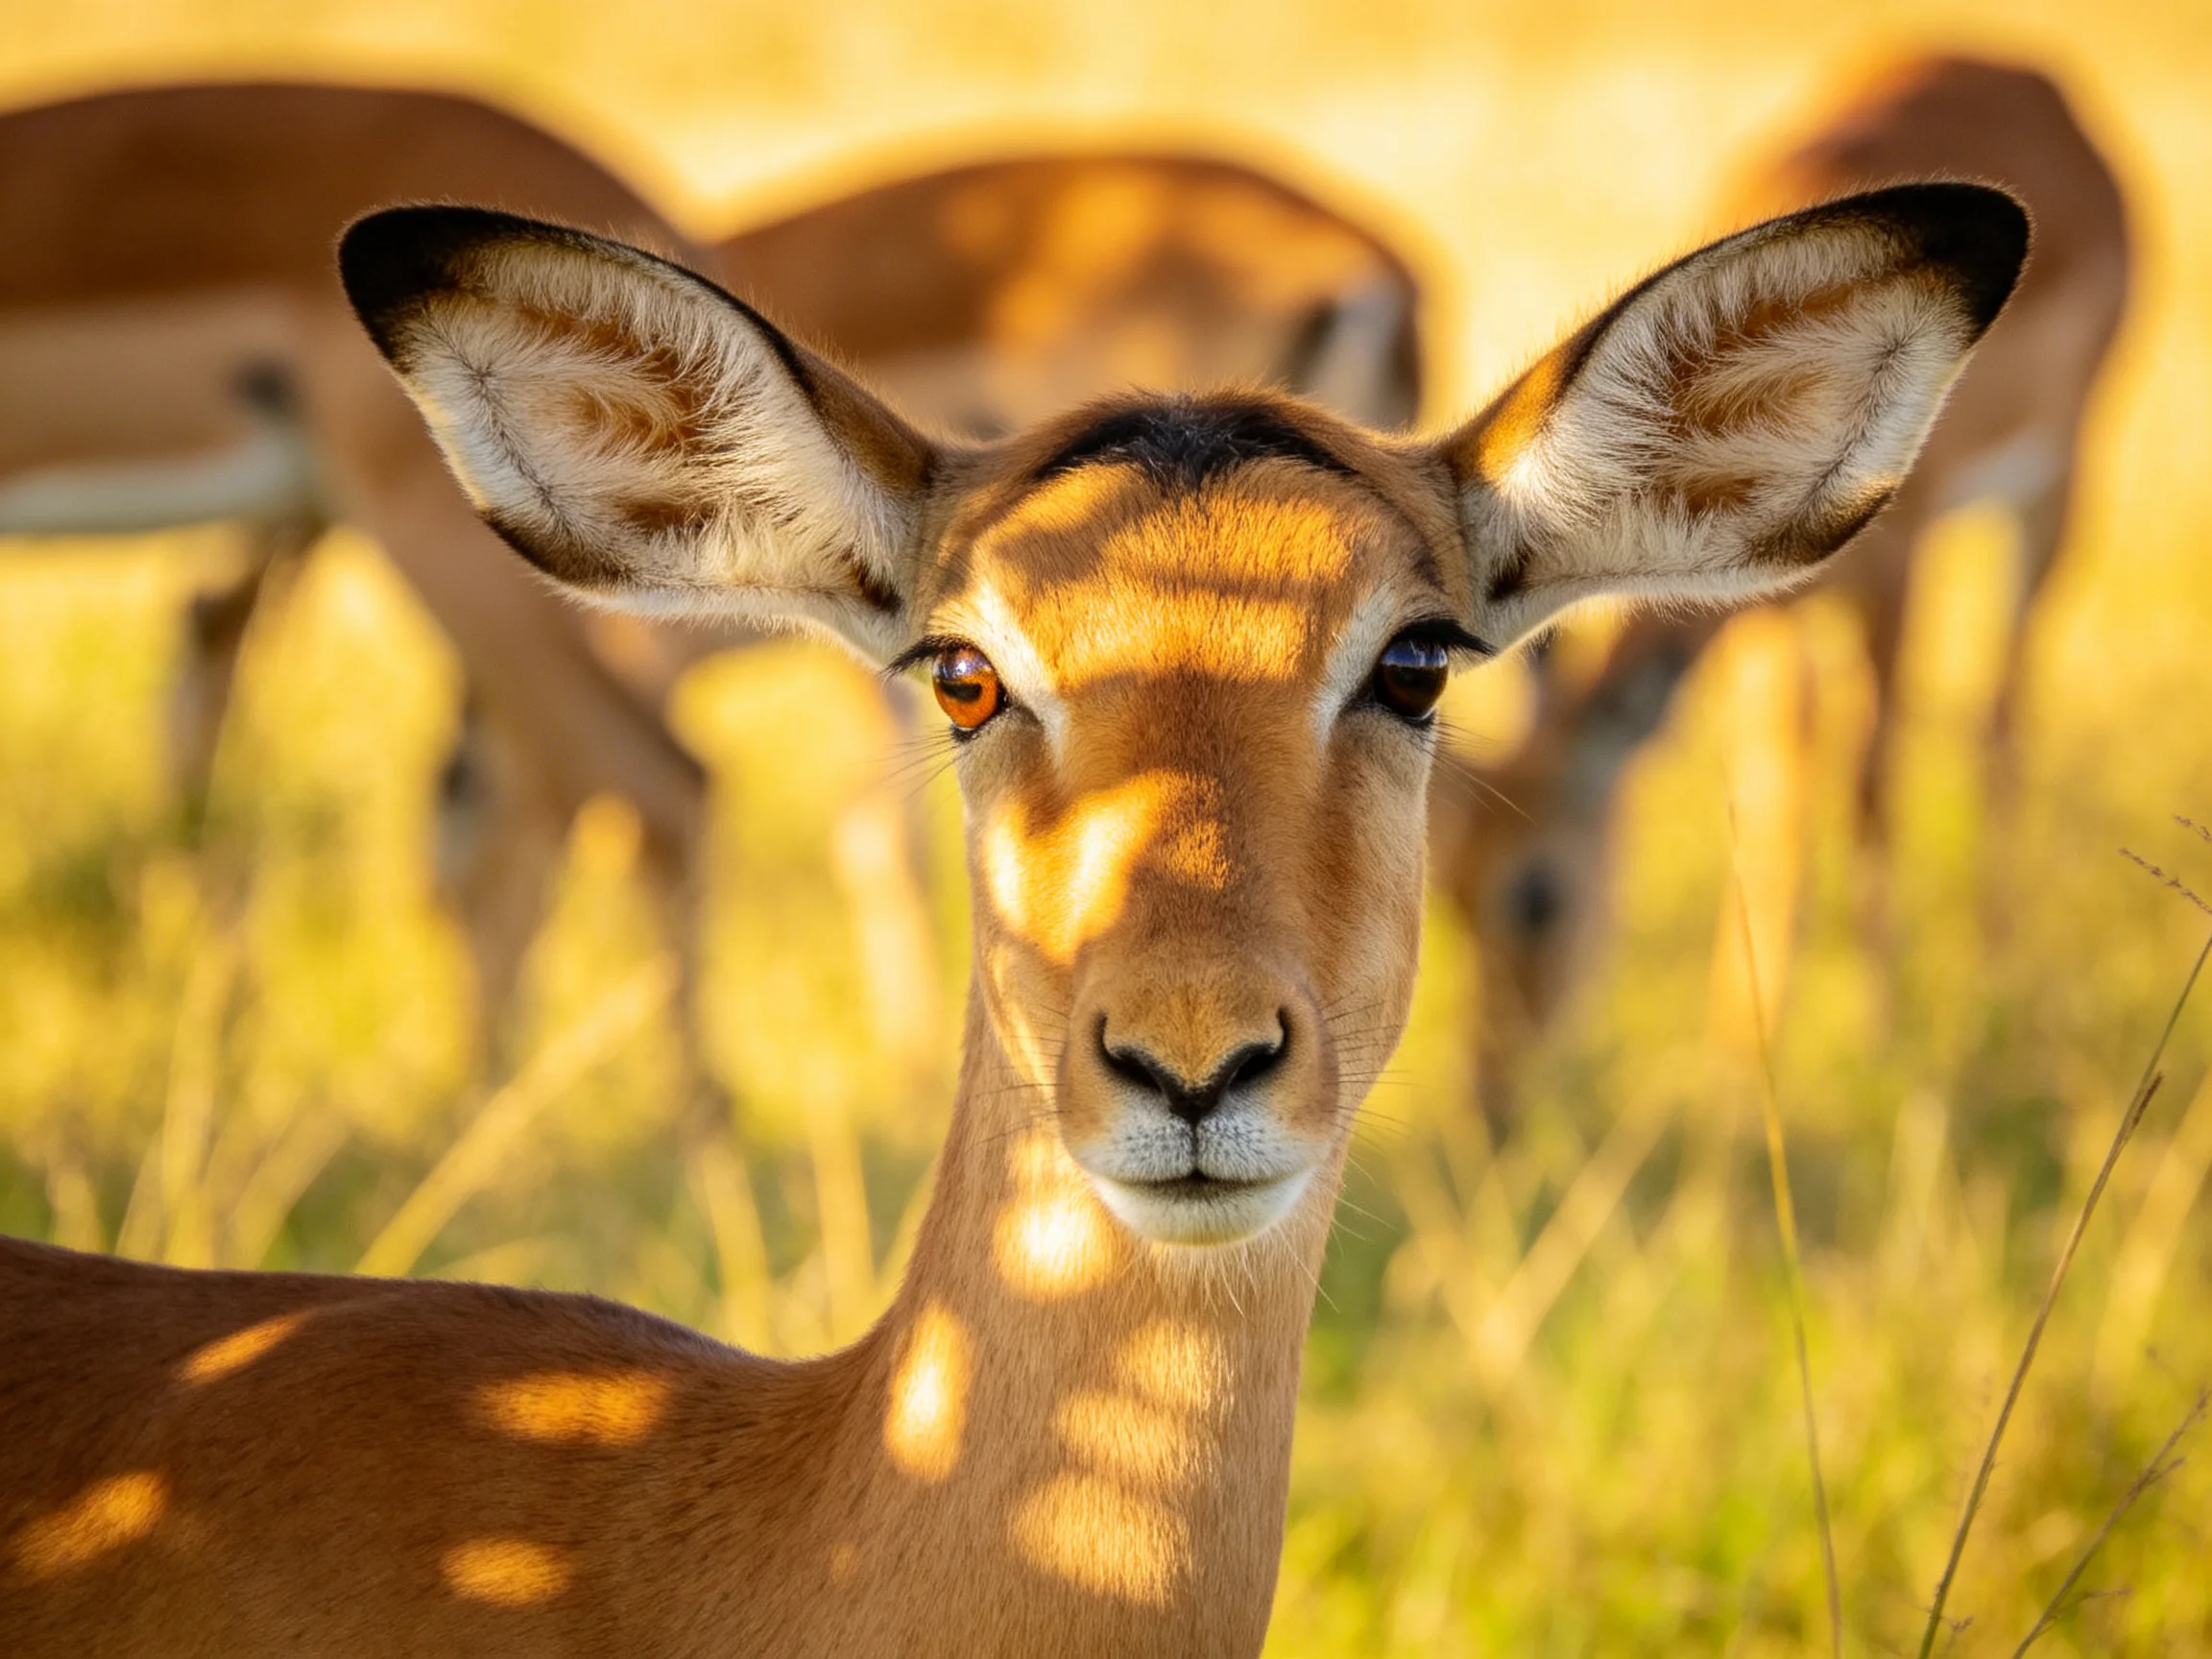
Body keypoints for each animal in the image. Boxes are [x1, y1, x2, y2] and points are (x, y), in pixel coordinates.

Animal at [1429, 55, 2130, 1101]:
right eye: (1451, 889)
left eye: (1539, 895)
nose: (1491, 1092)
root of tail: (2033, 77)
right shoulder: (1759, 618)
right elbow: (1772, 802)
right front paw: (1734, 1056)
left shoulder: (1895, 573)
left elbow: (1873, 787)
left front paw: (1885, 1039)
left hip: (2051, 500)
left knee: (1999, 712)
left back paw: (1996, 976)